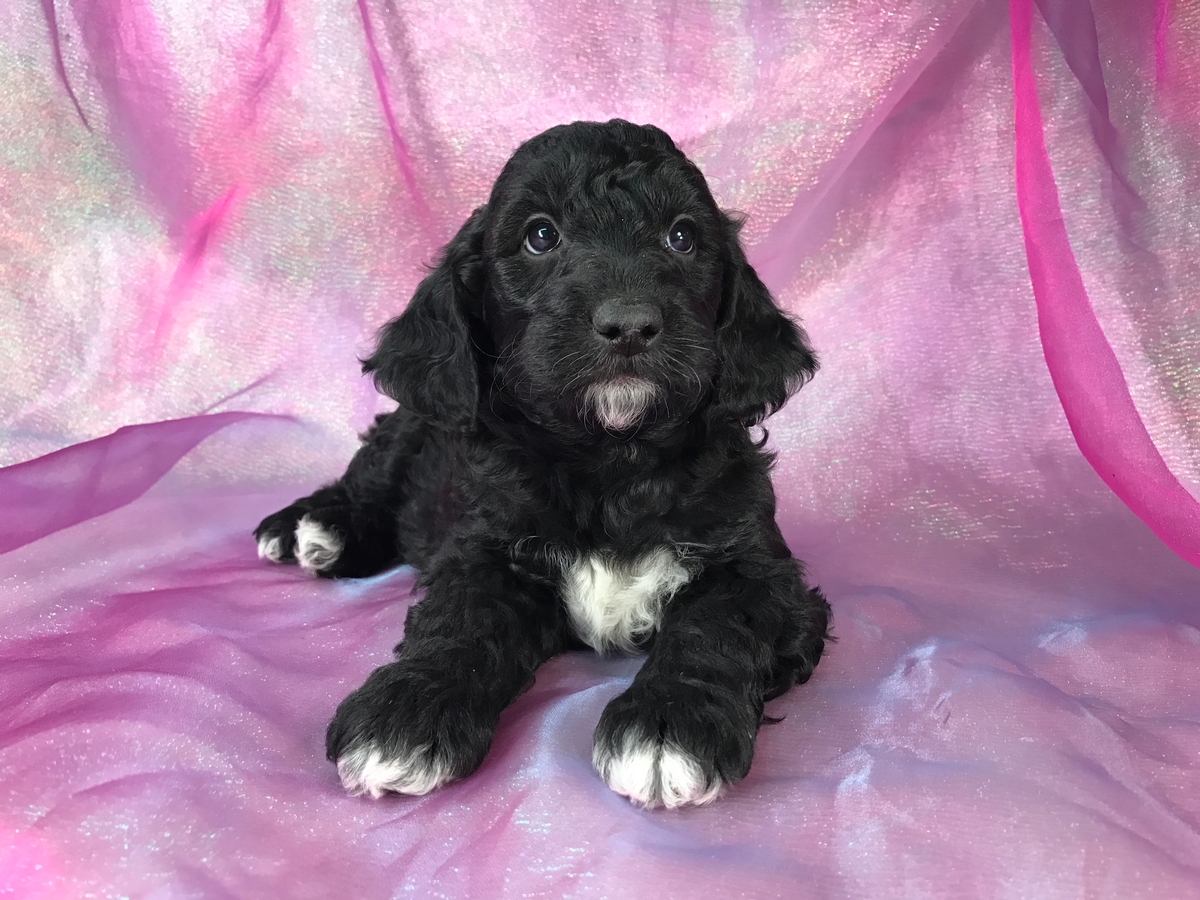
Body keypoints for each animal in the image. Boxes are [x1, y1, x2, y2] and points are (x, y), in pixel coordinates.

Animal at [256, 118, 830, 811]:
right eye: (540, 235)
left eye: (683, 237)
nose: (630, 323)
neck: (610, 460)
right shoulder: (484, 549)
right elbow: (460, 622)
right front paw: (404, 713)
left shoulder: (761, 571)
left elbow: (715, 625)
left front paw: (669, 723)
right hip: (412, 425)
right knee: (368, 479)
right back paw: (313, 526)